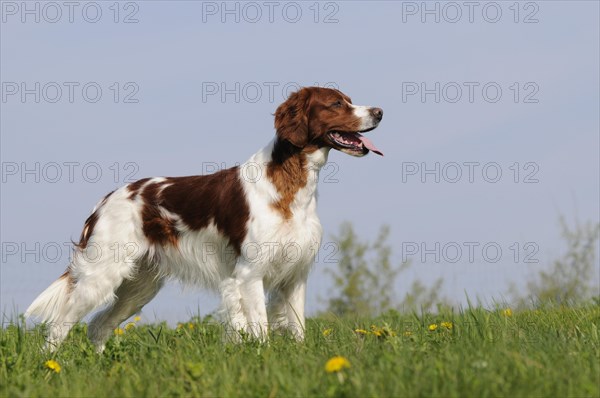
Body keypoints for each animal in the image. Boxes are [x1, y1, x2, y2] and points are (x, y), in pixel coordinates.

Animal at [25, 85, 384, 350]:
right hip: (102, 274)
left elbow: (297, 328)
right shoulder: (249, 274)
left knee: (98, 326)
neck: (289, 184)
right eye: (336, 103)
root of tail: (105, 200)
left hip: (138, 285)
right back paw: (51, 366)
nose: (380, 112)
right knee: (60, 325)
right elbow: (261, 329)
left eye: (349, 99)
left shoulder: (295, 274)